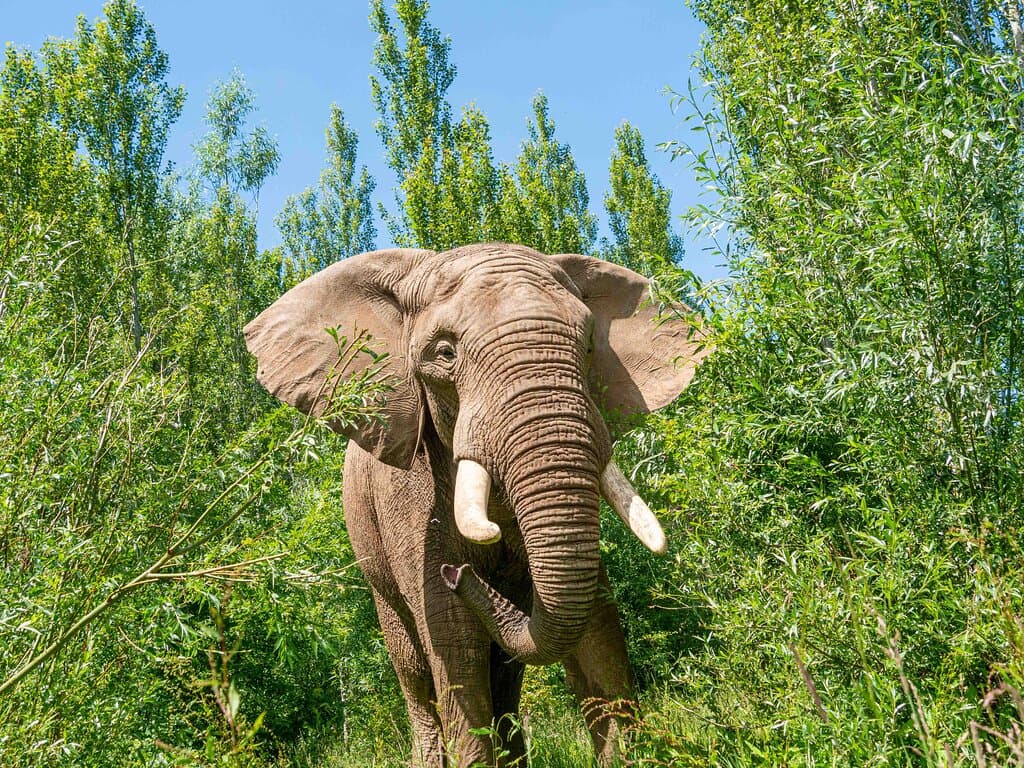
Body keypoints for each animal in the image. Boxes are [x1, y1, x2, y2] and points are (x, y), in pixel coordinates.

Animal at [244, 243, 710, 767]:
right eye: (444, 354)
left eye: (590, 344)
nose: (458, 574)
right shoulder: (411, 497)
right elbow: (453, 641)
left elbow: (598, 631)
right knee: (417, 671)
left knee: (503, 670)